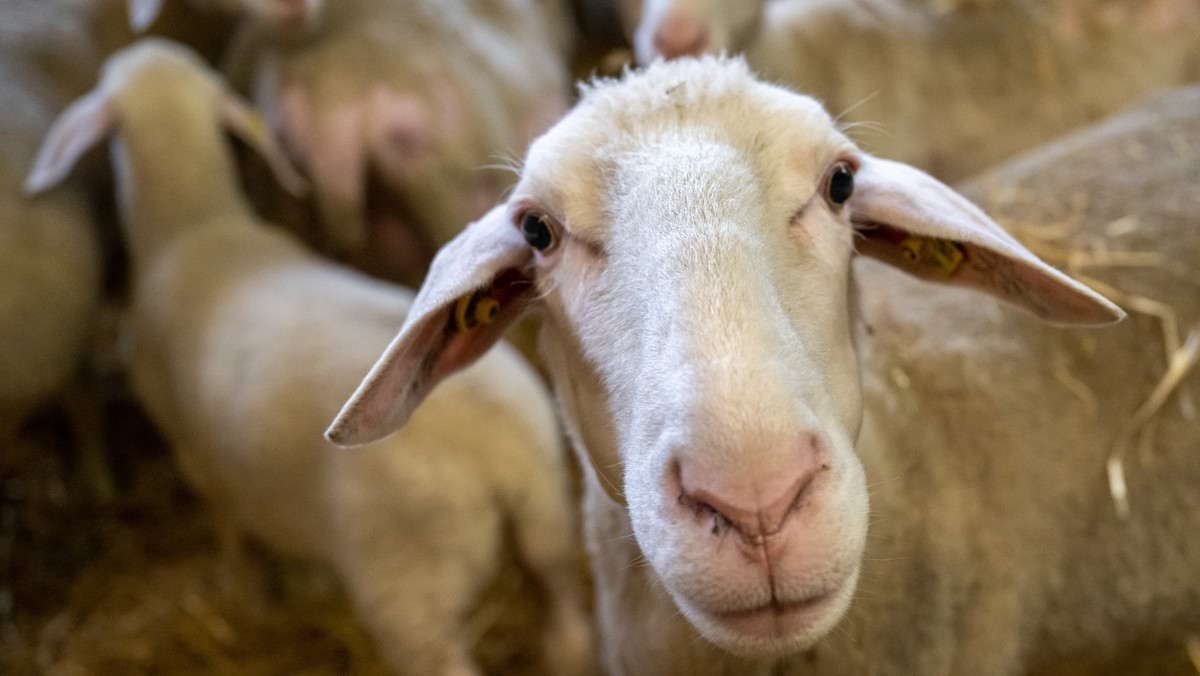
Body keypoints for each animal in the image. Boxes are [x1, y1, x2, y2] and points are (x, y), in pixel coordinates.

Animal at [26, 38, 594, 676]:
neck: (193, 226)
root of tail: (502, 454)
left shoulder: (196, 456)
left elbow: (233, 532)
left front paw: (244, 598)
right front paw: (305, 583)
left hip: (411, 585)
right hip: (550, 522)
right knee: (567, 630)